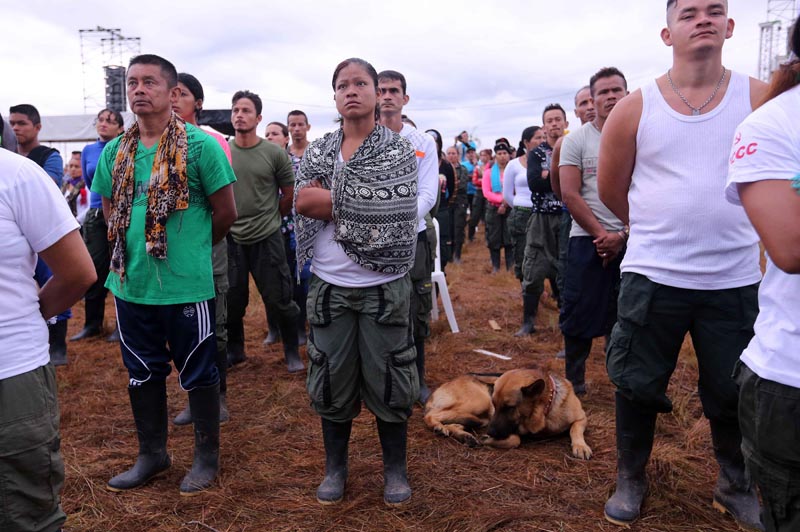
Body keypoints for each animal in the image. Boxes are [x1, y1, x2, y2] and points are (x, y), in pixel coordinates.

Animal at [422, 368, 592, 460]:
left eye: (509, 407)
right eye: (496, 405)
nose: (490, 432)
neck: (545, 411)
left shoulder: (581, 418)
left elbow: (575, 430)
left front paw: (580, 445)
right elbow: (516, 440)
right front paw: (489, 440)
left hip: (480, 415)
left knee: (454, 423)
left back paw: (464, 435)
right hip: (480, 402)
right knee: (430, 415)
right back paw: (439, 427)